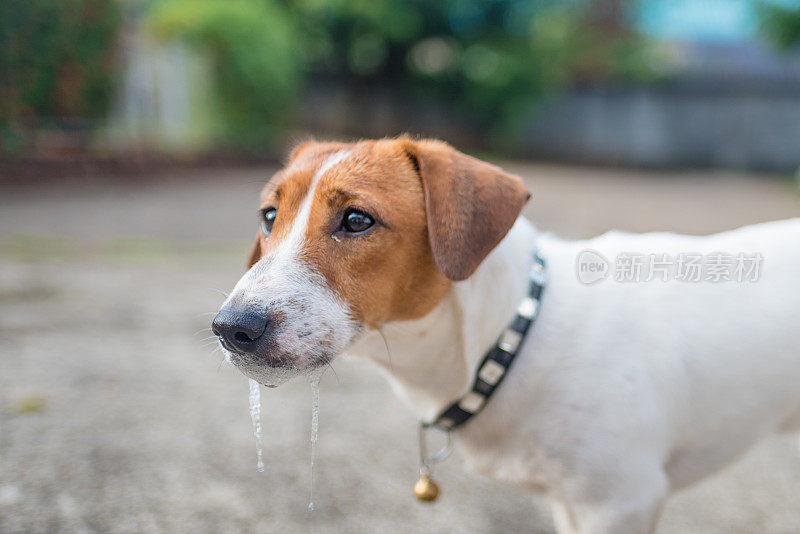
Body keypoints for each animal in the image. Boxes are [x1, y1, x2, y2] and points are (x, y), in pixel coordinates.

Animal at [212, 139, 800, 534]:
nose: (230, 328)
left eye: (357, 219)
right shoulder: (574, 504)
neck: (510, 338)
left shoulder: (620, 501)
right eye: (269, 215)